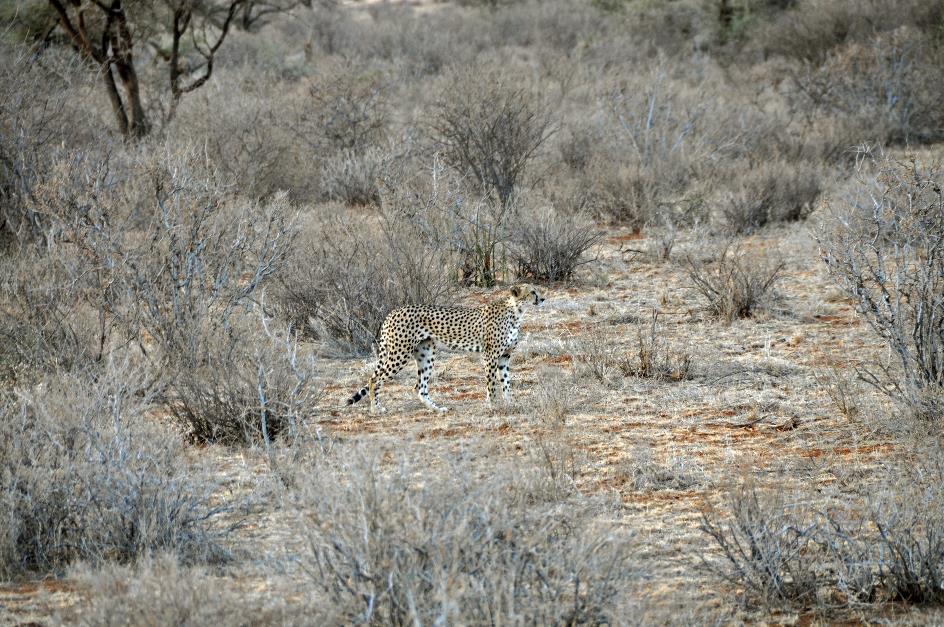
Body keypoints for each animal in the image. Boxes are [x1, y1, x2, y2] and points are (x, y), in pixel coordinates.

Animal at [344, 286, 544, 414]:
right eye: (532, 292)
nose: (542, 299)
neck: (516, 311)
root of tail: (393, 311)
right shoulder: (490, 356)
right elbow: (492, 384)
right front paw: (493, 406)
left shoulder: (504, 357)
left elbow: (506, 382)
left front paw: (509, 402)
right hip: (399, 353)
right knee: (374, 380)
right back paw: (375, 409)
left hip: (426, 353)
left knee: (419, 387)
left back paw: (437, 409)